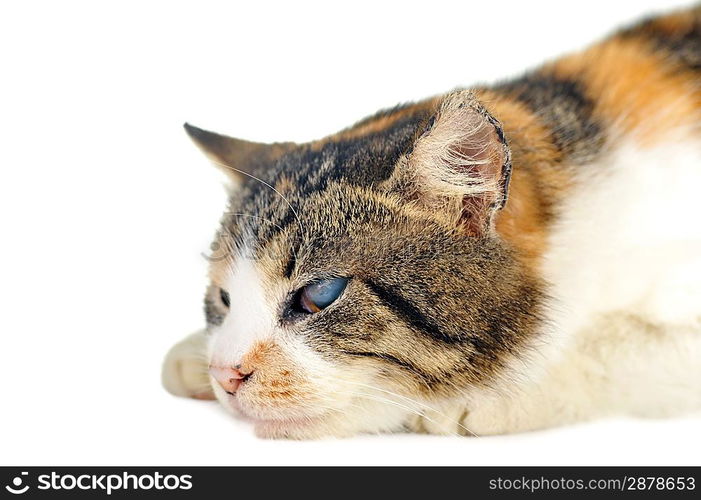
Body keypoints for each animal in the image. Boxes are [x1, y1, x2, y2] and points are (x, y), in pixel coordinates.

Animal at [160, 5, 700, 440]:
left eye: (320, 294)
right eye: (224, 298)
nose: (223, 373)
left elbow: (627, 345)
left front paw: (497, 394)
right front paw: (190, 357)